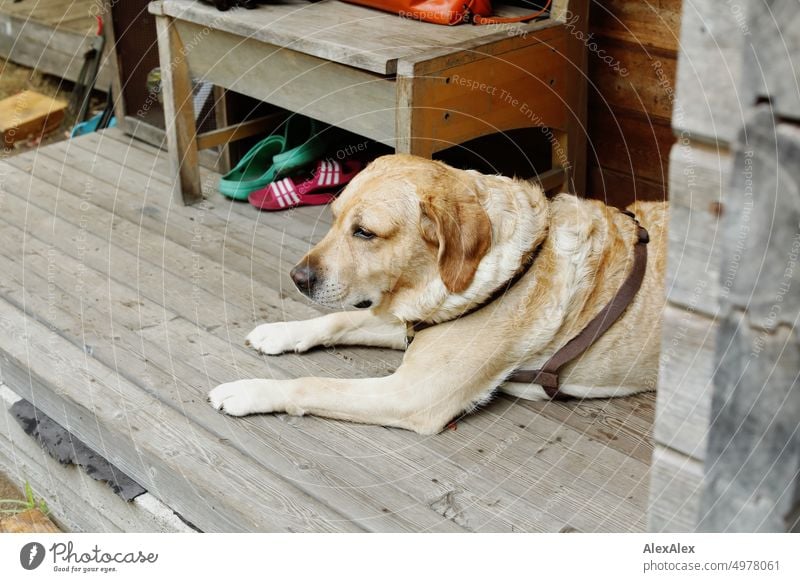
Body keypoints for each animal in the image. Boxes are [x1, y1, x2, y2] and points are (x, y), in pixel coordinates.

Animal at [209, 154, 664, 434]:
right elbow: (339, 318)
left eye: (365, 232)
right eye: (335, 218)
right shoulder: (412, 318)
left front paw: (247, 390)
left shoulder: (411, 393)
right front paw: (280, 332)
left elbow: (313, 385)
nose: (297, 277)